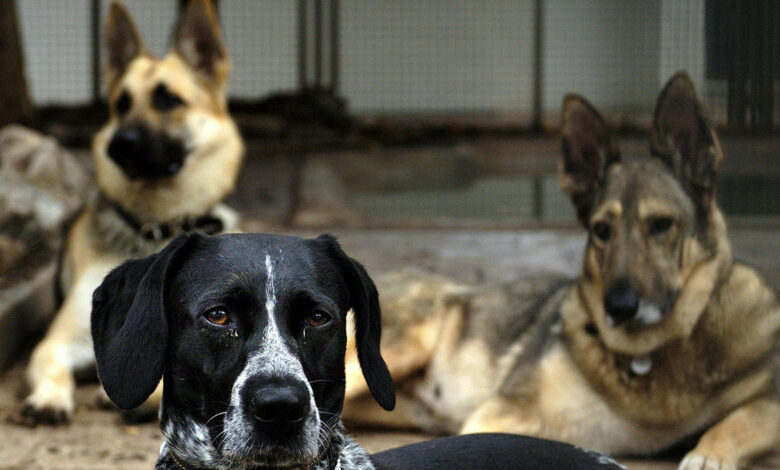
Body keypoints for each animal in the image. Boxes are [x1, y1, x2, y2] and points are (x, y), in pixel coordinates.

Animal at [22, 0, 242, 424]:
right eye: (121, 105)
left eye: (168, 100)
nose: (119, 145)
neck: (156, 228)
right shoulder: (60, 341)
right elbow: (53, 364)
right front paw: (49, 397)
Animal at [344, 73, 776, 470]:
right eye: (602, 230)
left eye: (661, 224)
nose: (619, 308)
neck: (650, 356)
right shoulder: (499, 414)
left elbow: (746, 418)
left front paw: (708, 455)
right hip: (401, 347)